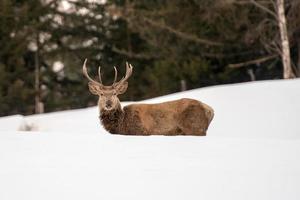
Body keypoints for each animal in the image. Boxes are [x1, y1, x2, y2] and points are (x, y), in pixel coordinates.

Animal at [82, 58, 213, 135]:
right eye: (101, 94)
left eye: (115, 93)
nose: (108, 103)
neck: (121, 124)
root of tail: (210, 110)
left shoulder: (141, 130)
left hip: (193, 125)